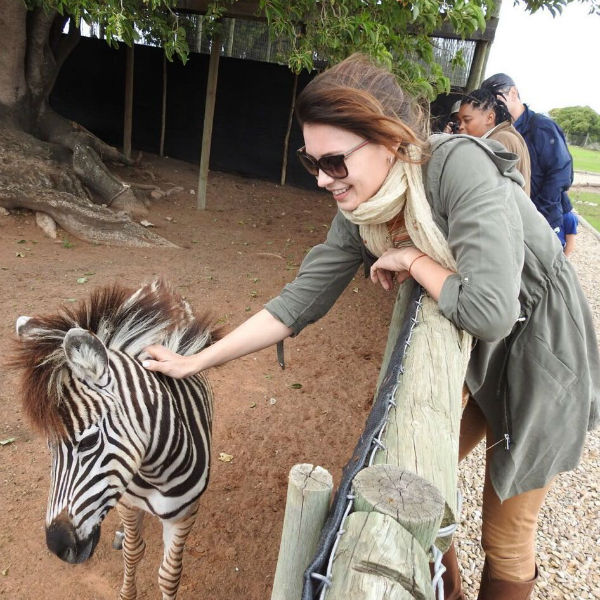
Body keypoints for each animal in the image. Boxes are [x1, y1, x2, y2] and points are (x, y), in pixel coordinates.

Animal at [10, 278, 220, 596]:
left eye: (88, 442)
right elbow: (134, 552)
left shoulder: (184, 515)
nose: (57, 546)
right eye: (50, 447)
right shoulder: (128, 504)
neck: (153, 470)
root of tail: (159, 284)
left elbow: (169, 575)